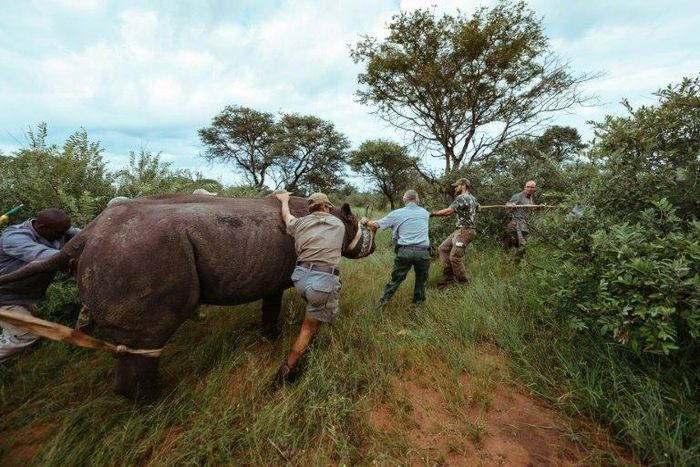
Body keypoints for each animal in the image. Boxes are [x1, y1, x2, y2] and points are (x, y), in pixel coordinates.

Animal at [0, 194, 376, 400]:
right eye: (358, 227)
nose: (372, 247)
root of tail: (87, 237)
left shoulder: (273, 277)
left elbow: (270, 306)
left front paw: (267, 339)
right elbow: (273, 307)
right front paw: (272, 340)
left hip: (122, 251)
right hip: (142, 254)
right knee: (149, 338)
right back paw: (160, 404)